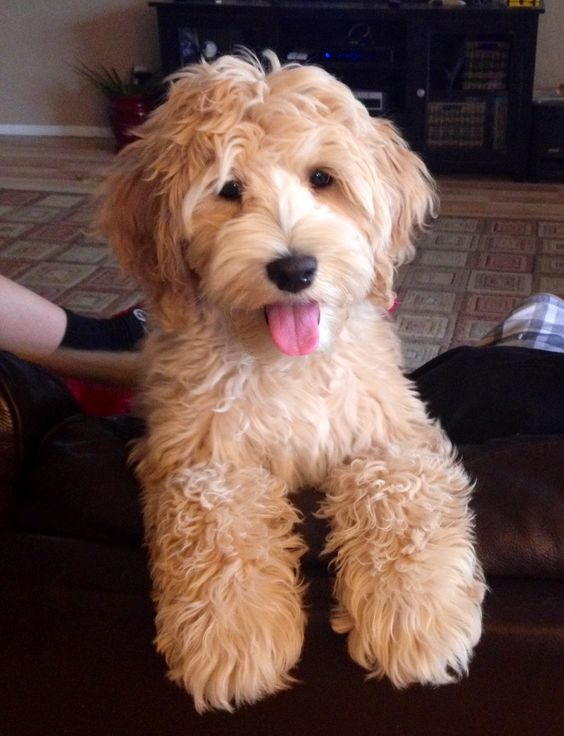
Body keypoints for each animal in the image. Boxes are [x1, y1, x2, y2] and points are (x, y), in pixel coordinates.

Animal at [97, 51, 484, 712]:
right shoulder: (198, 454)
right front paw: (232, 637)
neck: (286, 363)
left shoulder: (394, 432)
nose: (295, 268)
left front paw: (417, 617)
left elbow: (401, 493)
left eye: (323, 178)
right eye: (228, 189)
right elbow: (216, 523)